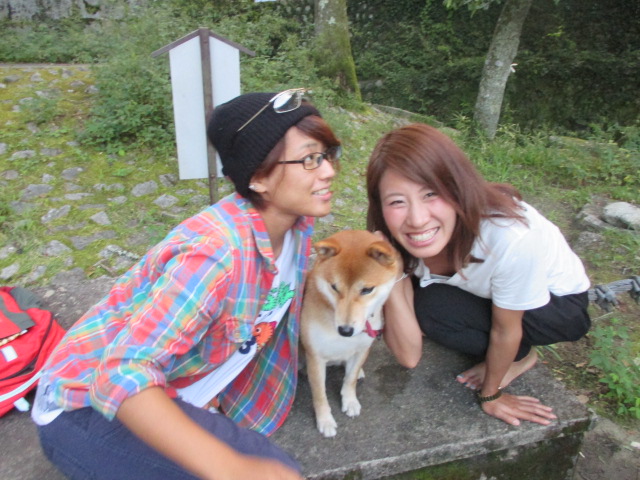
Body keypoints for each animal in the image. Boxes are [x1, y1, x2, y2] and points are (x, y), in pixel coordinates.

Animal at [300, 230, 402, 437]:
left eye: (367, 289)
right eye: (334, 287)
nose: (345, 330)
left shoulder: (362, 349)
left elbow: (350, 379)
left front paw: (350, 401)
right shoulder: (315, 357)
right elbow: (319, 394)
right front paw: (325, 420)